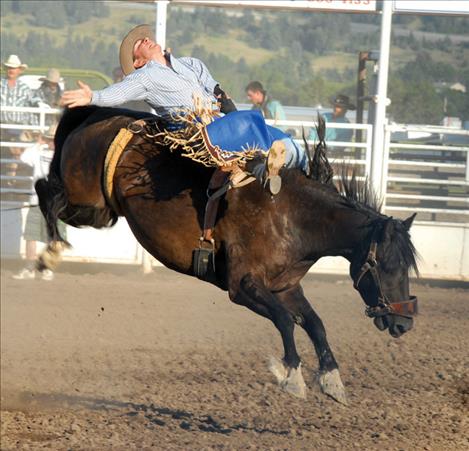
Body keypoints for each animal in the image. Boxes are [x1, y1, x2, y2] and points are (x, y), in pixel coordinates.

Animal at [35, 107, 416, 406]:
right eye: (387, 266)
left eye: (407, 267)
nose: (404, 323)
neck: (289, 215)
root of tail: (101, 115)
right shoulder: (242, 286)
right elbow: (284, 320)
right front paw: (290, 375)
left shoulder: (285, 287)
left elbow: (314, 324)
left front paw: (332, 380)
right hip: (87, 203)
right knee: (45, 191)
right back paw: (48, 255)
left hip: (101, 212)